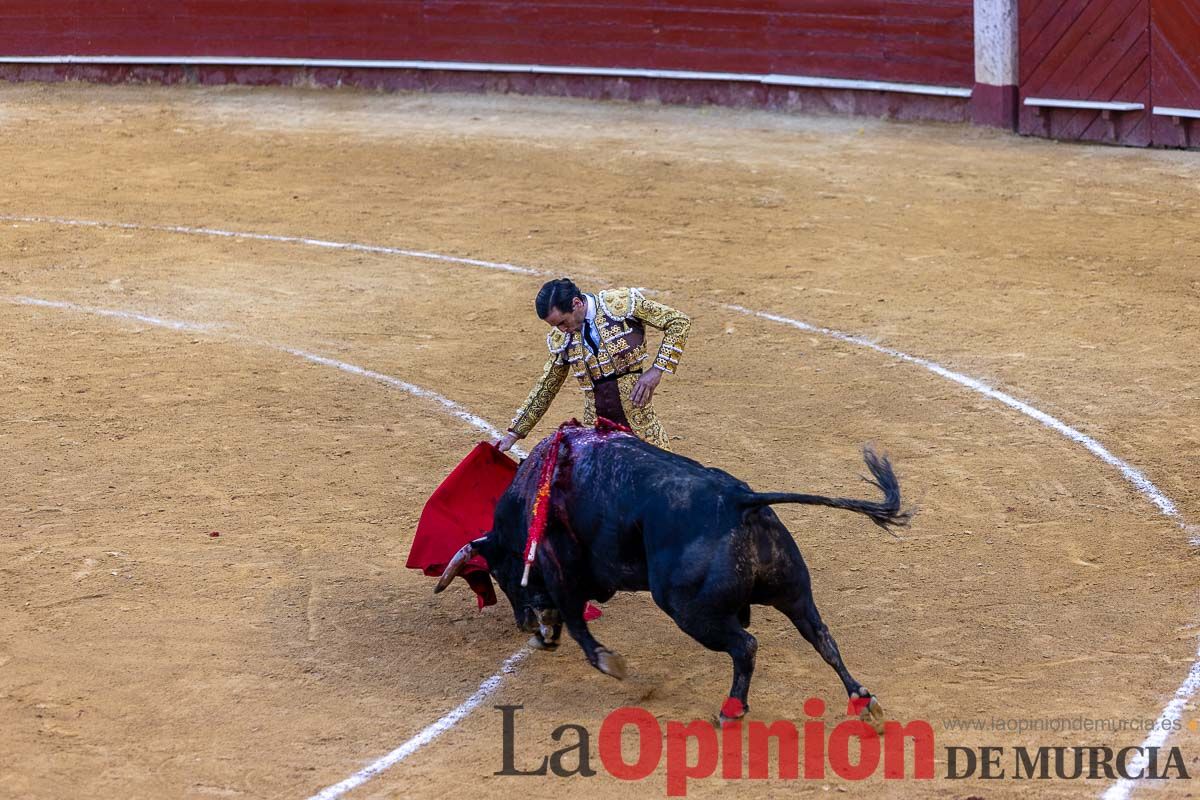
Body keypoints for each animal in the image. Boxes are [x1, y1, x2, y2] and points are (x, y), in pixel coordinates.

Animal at [436, 424, 902, 724]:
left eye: (501, 574)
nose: (525, 626)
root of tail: (740, 500)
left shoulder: (559, 567)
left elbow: (573, 616)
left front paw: (606, 660)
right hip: (793, 592)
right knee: (822, 638)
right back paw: (864, 702)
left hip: (689, 609)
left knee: (746, 646)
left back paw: (731, 711)